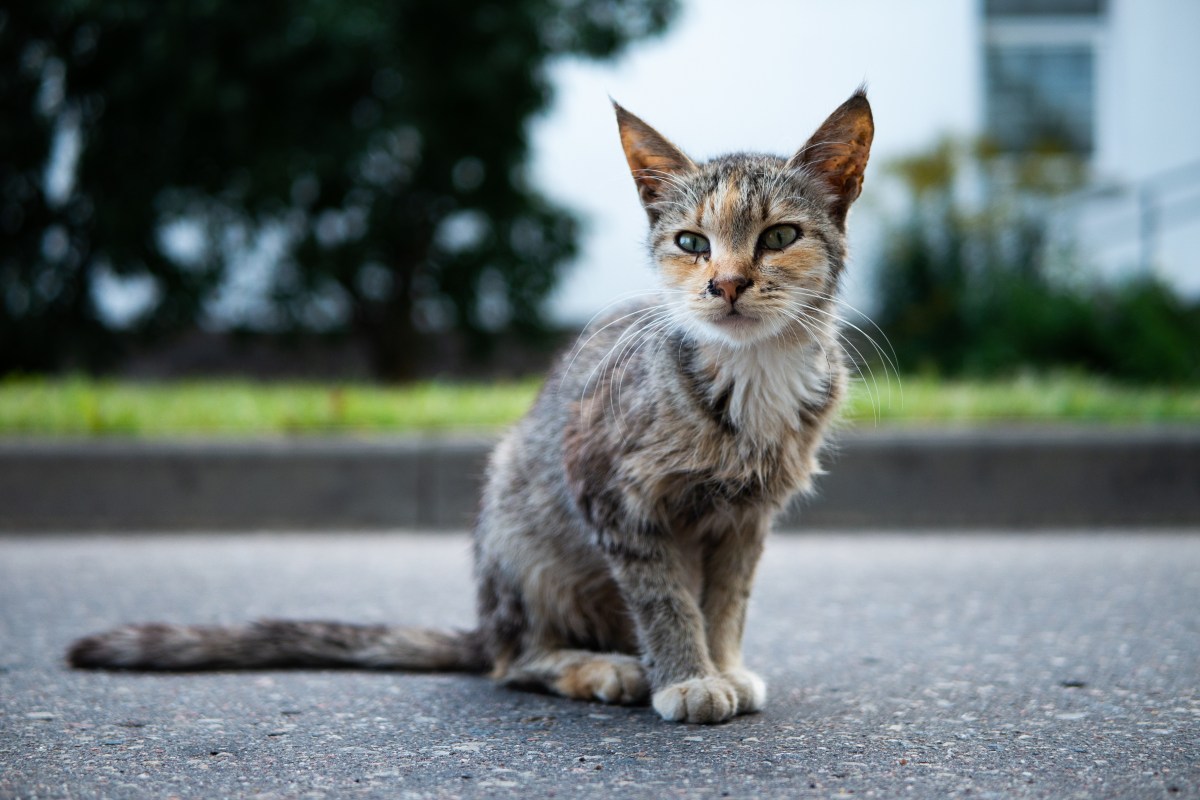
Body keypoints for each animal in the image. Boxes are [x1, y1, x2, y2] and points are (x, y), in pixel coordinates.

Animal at [70, 89, 873, 724]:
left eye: (779, 236)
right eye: (691, 242)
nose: (726, 284)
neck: (748, 376)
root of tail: (485, 623)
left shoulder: (746, 519)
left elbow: (726, 599)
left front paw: (723, 664)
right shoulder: (612, 495)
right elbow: (666, 600)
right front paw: (688, 677)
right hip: (521, 531)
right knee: (511, 661)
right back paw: (598, 666)